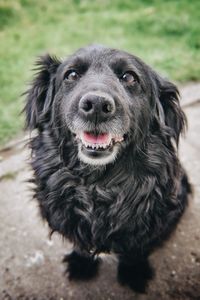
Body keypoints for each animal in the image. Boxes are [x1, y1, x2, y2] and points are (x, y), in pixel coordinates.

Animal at [24, 45, 191, 292]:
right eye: (71, 74)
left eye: (129, 77)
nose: (96, 106)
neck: (98, 184)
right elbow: (80, 243)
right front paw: (82, 262)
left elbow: (135, 249)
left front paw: (133, 271)